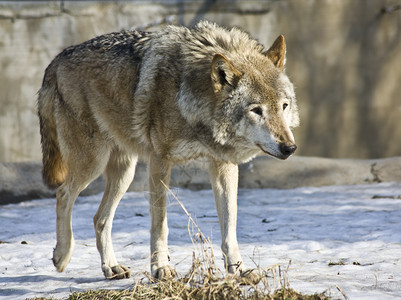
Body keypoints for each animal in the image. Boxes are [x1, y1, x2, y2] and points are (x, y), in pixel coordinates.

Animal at [37, 21, 298, 282]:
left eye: (284, 106)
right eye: (256, 110)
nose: (290, 147)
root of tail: (56, 59)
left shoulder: (223, 164)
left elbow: (230, 224)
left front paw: (239, 270)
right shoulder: (159, 162)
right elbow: (160, 225)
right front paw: (161, 269)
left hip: (125, 174)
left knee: (99, 218)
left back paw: (111, 267)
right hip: (93, 163)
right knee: (63, 194)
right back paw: (62, 255)